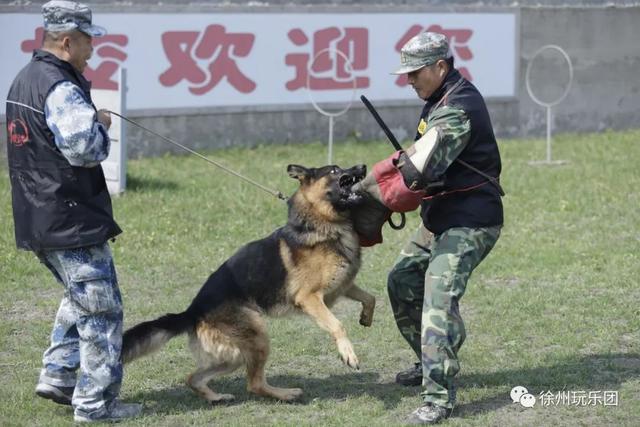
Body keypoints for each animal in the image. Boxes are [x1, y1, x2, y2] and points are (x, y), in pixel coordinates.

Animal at [122, 164, 376, 404]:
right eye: (334, 170)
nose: (363, 166)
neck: (321, 223)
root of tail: (193, 311)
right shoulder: (309, 297)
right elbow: (337, 325)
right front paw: (348, 353)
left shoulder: (341, 287)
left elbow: (371, 298)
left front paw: (366, 318)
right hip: (258, 336)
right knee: (254, 384)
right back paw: (286, 394)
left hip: (233, 355)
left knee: (194, 378)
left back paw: (217, 398)